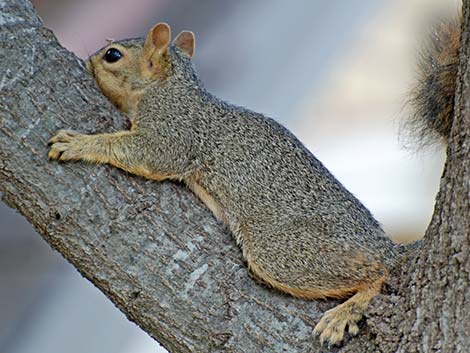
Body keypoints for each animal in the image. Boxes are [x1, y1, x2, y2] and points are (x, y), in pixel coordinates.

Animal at [47, 16, 456, 344]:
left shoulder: (173, 131)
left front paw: (78, 143)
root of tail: (384, 245)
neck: (172, 86)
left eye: (113, 55)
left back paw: (345, 312)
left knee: (379, 272)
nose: (87, 60)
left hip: (283, 252)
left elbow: (147, 152)